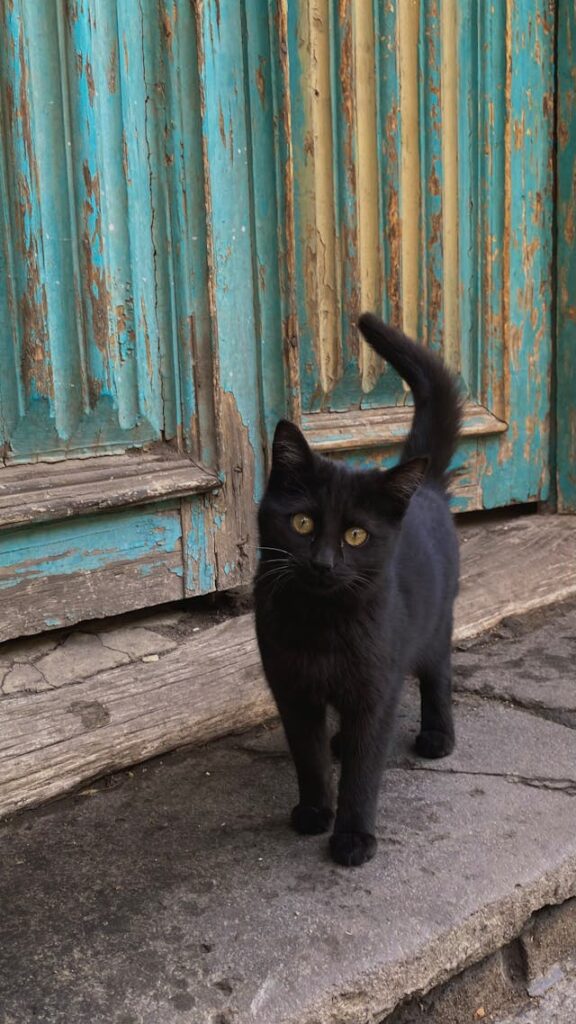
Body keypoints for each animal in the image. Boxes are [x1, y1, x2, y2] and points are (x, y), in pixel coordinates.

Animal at [253, 311, 459, 864]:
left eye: (356, 535)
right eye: (302, 523)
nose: (324, 563)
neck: (322, 622)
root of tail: (427, 487)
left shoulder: (375, 686)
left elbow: (366, 769)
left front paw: (353, 837)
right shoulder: (292, 688)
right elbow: (307, 755)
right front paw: (314, 810)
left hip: (436, 624)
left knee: (437, 674)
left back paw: (438, 735)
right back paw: (340, 743)